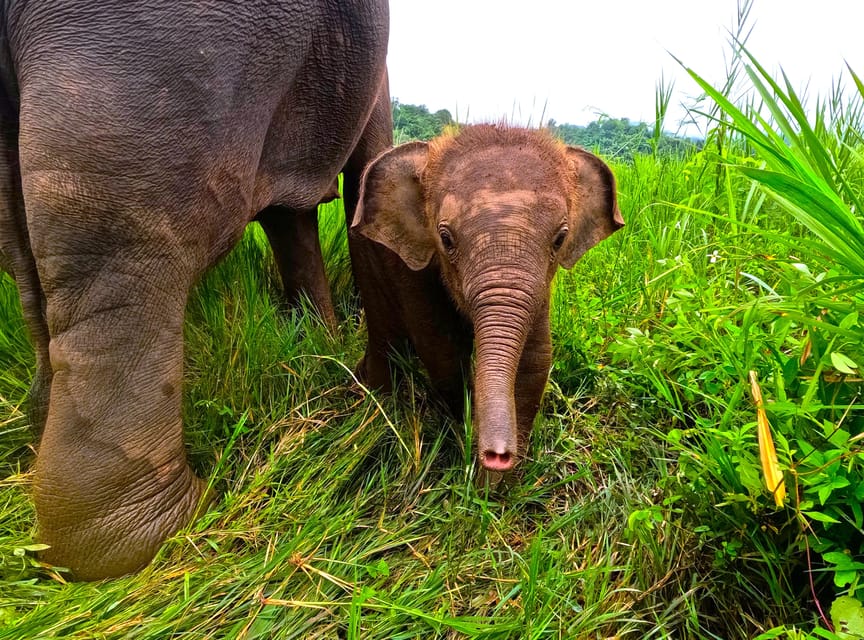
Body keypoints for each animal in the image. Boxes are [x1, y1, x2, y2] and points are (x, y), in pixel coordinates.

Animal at [352, 126, 620, 476]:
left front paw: (498, 484)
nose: (497, 455)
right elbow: (443, 350)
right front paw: (463, 438)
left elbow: (535, 361)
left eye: (560, 239)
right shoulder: (412, 270)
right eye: (445, 239)